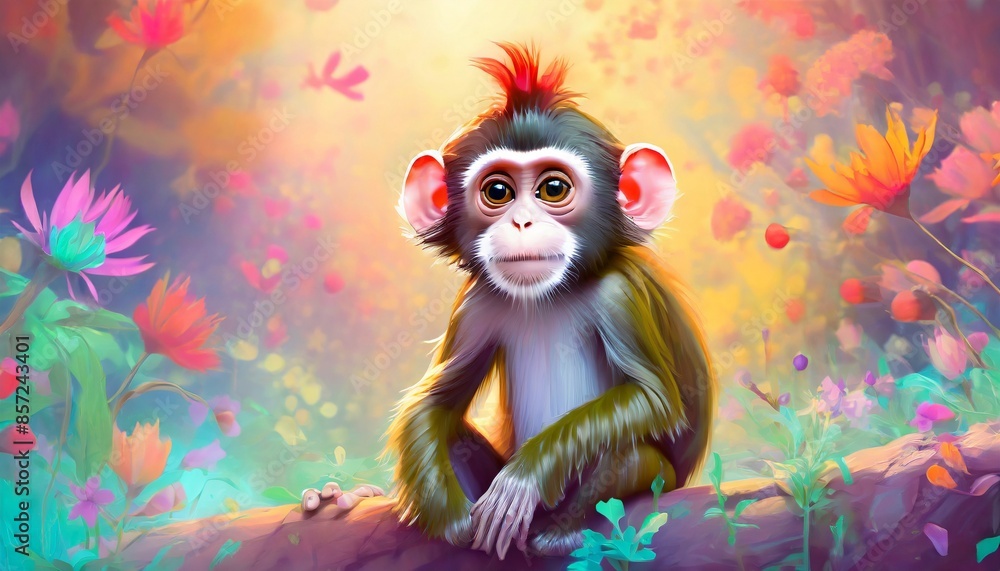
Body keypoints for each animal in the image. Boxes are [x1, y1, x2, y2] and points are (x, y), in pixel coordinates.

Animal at [302, 42, 715, 560]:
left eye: (553, 188)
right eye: (497, 191)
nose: (521, 222)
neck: (552, 296)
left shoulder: (619, 293)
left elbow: (652, 399)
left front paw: (524, 477)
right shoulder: (476, 305)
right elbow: (433, 405)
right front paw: (449, 517)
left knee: (635, 456)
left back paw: (562, 529)